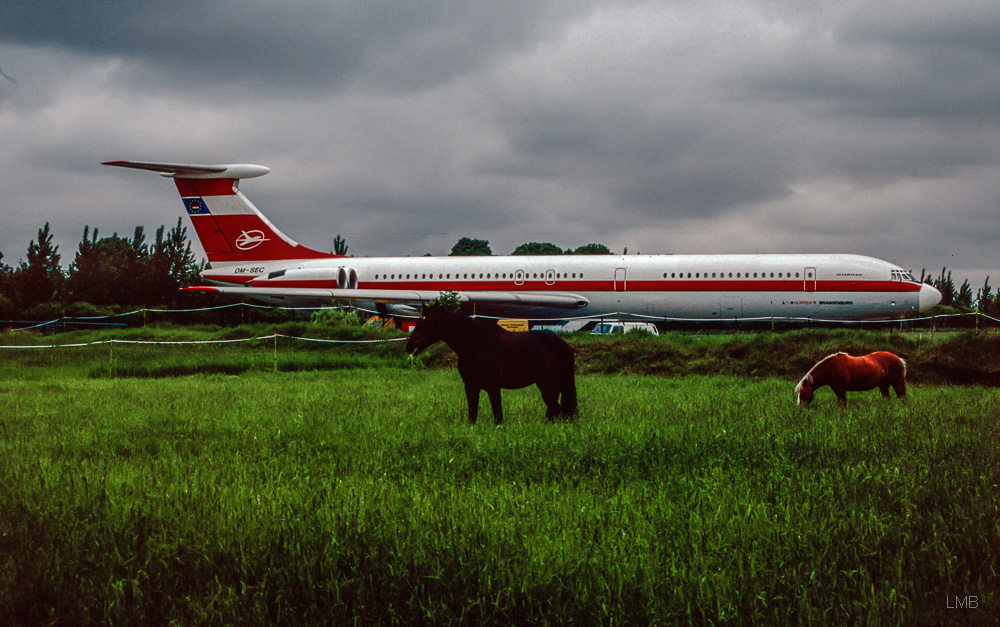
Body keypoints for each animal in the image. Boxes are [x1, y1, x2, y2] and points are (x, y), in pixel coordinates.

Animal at [406, 306, 580, 424]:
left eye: (428, 322)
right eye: (418, 321)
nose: (409, 346)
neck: (475, 344)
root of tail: (564, 345)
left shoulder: (493, 387)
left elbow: (498, 416)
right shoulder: (471, 387)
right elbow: (472, 415)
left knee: (558, 409)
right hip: (546, 385)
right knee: (555, 409)